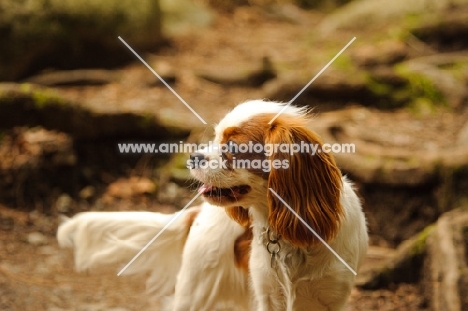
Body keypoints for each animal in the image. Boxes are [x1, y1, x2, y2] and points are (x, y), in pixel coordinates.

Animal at [57, 100, 366, 311]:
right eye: (216, 138)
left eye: (233, 147)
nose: (193, 157)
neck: (291, 238)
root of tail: (199, 212)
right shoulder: (267, 295)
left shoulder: (333, 298)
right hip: (194, 291)